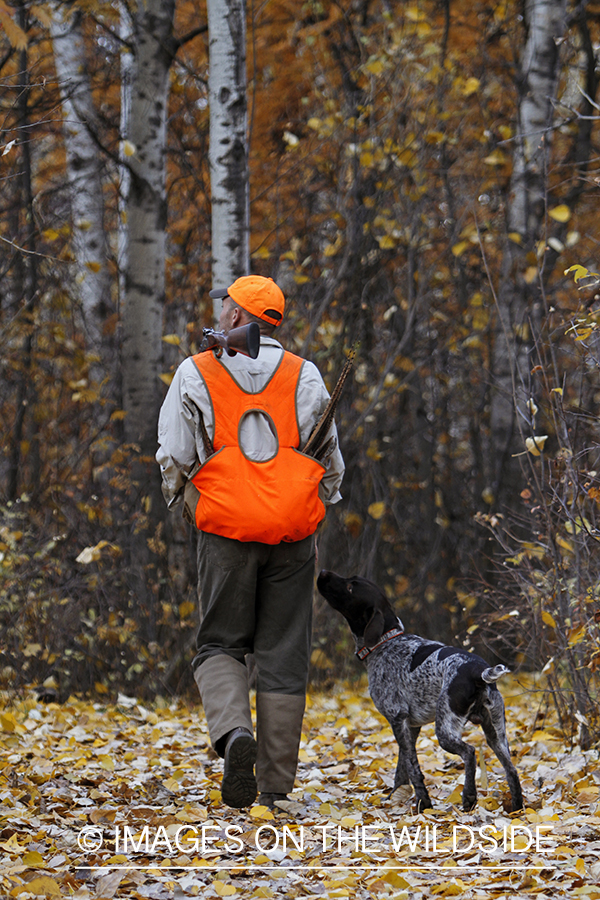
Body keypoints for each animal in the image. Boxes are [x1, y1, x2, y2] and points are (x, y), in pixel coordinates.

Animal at [316, 568, 524, 816]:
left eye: (350, 587)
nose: (323, 572)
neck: (385, 642)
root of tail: (477, 670)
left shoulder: (397, 719)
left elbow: (412, 768)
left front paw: (423, 803)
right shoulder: (411, 727)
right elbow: (402, 766)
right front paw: (395, 798)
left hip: (445, 729)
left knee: (470, 752)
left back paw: (469, 797)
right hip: (496, 733)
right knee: (512, 770)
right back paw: (517, 808)